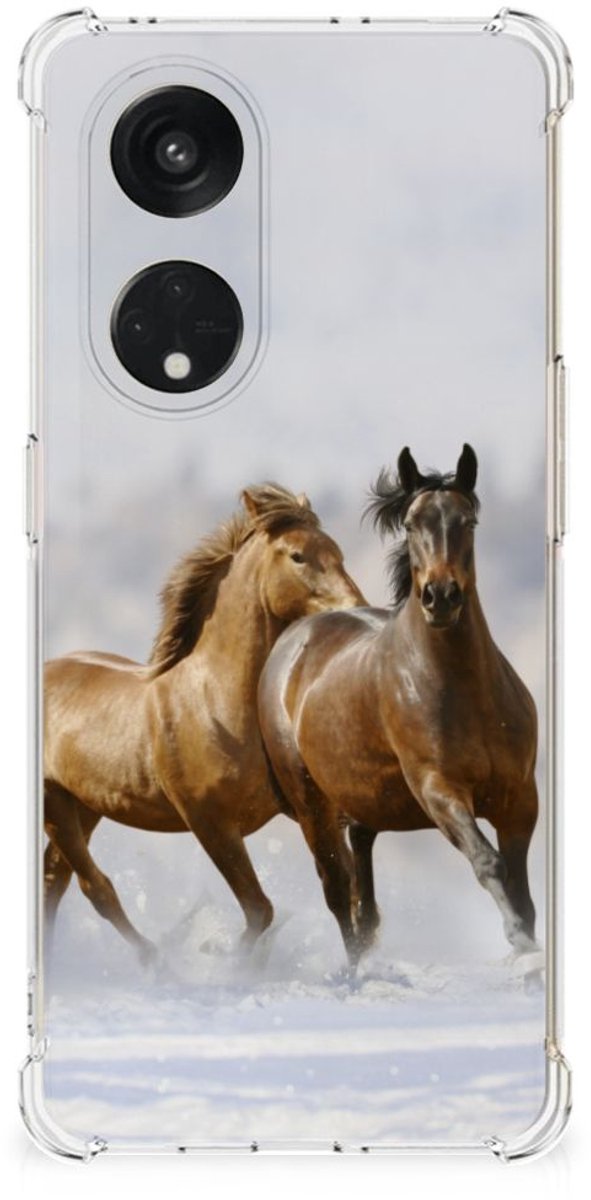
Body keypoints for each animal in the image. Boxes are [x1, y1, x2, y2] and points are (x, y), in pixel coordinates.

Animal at [43, 484, 365, 963]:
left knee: (56, 879)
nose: (357, 609)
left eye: (338, 551)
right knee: (93, 886)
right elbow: (260, 910)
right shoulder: (210, 823)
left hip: (84, 805)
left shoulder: (310, 809)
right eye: (297, 556)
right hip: (56, 804)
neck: (217, 702)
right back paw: (157, 961)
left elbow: (341, 887)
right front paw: (227, 962)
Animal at [258, 446, 539, 967]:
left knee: (362, 888)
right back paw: (356, 970)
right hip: (312, 805)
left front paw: (528, 947)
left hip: (363, 801)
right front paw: (520, 944)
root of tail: (293, 640)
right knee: (337, 890)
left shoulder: (520, 798)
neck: (465, 692)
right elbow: (488, 863)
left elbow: (522, 888)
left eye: (468, 521)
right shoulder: (439, 790)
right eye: (410, 524)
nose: (440, 597)